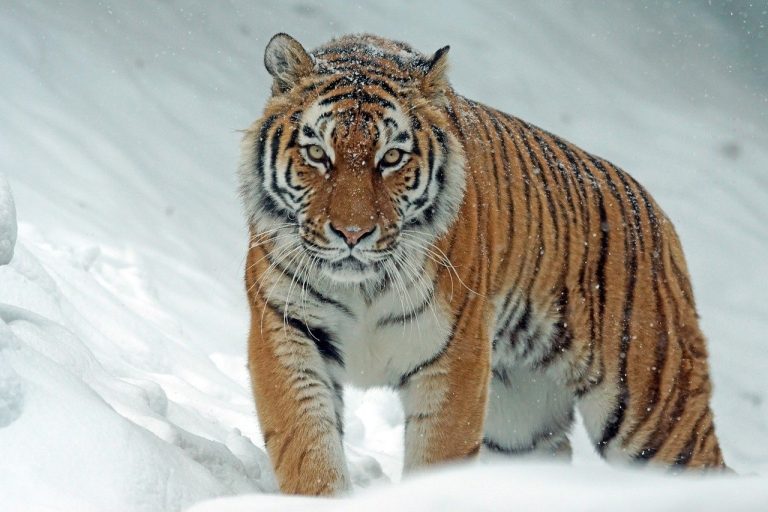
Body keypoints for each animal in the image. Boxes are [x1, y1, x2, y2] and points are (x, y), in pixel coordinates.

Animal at [238, 32, 727, 495]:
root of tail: (658, 215)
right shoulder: (286, 330)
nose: (353, 234)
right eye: (317, 154)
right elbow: (307, 446)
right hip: (521, 423)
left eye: (391, 158)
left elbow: (437, 457)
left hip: (654, 410)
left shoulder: (456, 357)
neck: (363, 287)